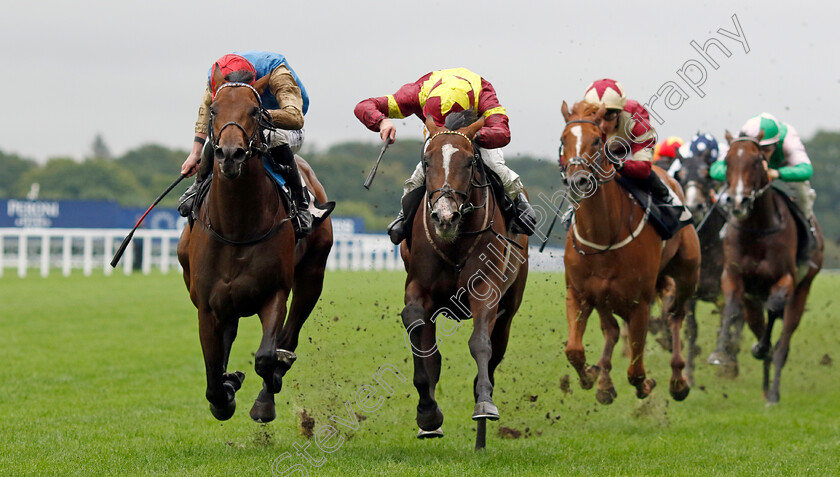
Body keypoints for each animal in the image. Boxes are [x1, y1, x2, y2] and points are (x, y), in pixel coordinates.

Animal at [177, 66, 334, 420]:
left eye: (254, 111)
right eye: (214, 110)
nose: (229, 154)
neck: (237, 228)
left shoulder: (274, 293)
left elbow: (265, 356)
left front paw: (265, 391)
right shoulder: (207, 305)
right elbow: (212, 376)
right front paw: (226, 389)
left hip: (312, 276)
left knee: (290, 334)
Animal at [398, 111, 528, 450]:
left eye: (470, 162)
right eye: (427, 160)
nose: (445, 216)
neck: (453, 243)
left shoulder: (486, 290)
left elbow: (480, 344)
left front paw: (484, 404)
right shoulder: (419, 289)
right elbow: (418, 332)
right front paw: (428, 414)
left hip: (509, 311)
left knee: (494, 354)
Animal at [556, 99, 704, 402]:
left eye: (596, 140)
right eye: (564, 140)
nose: (578, 181)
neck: (604, 235)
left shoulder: (640, 303)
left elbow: (636, 370)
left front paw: (645, 384)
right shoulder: (579, 293)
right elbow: (574, 349)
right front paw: (591, 376)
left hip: (687, 274)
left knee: (675, 316)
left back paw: (678, 380)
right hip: (604, 297)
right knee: (611, 330)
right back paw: (603, 381)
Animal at [712, 132, 824, 404]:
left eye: (757, 161)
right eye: (727, 161)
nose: (738, 201)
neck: (757, 229)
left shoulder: (786, 278)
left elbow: (774, 309)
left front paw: (761, 348)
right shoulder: (732, 275)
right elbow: (731, 307)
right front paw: (719, 354)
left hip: (802, 292)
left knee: (782, 343)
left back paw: (772, 393)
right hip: (752, 303)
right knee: (759, 326)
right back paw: (764, 383)